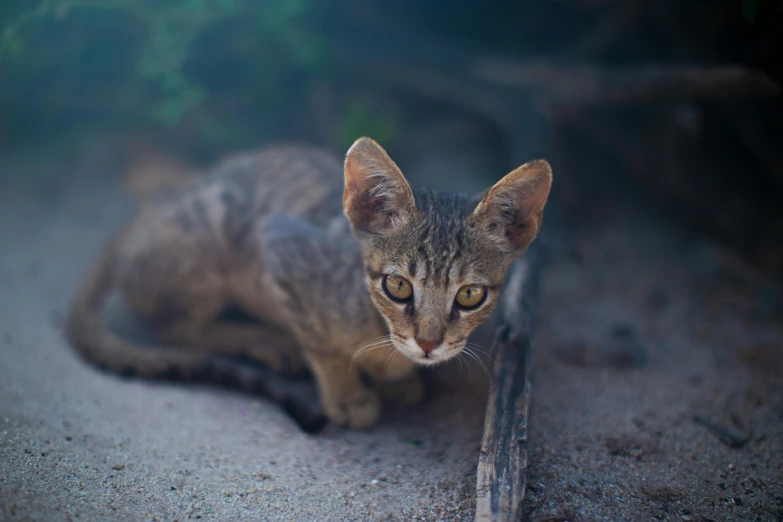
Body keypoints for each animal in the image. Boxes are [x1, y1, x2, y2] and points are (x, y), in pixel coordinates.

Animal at [67, 135, 556, 426]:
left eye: (471, 294)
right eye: (397, 286)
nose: (428, 344)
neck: (378, 329)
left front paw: (397, 377)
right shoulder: (282, 246)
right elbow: (322, 346)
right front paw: (346, 393)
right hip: (211, 243)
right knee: (173, 327)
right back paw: (265, 340)